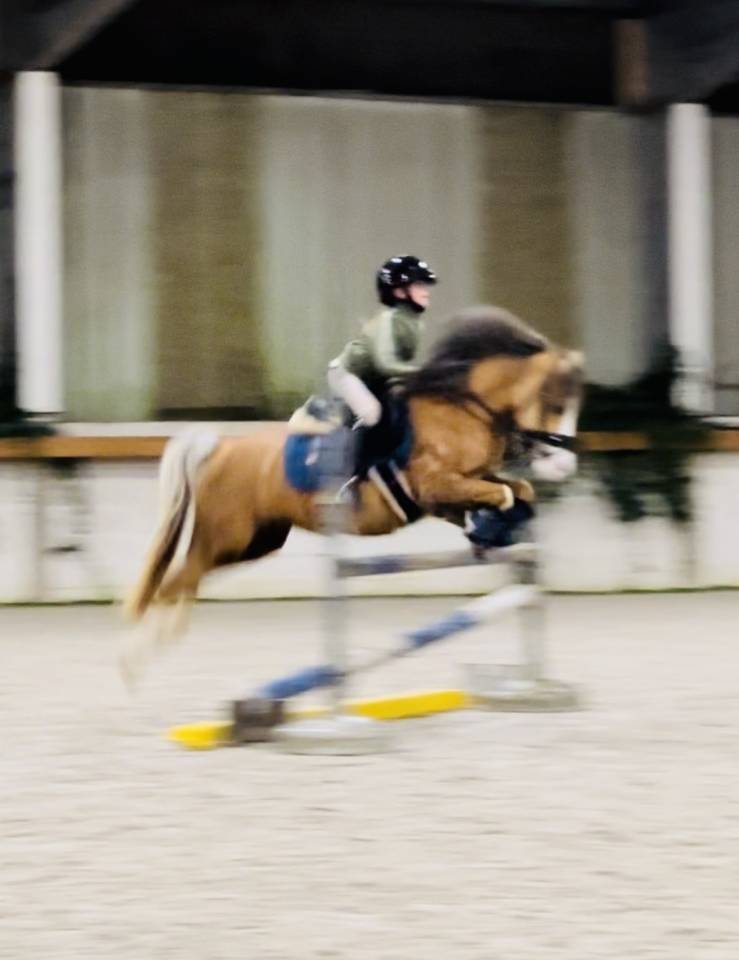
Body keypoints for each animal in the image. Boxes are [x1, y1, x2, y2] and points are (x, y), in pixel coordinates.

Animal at [120, 305, 584, 683]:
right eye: (553, 403)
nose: (564, 466)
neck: (462, 406)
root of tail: (220, 448)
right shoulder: (436, 485)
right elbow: (502, 494)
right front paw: (489, 527)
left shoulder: (456, 490)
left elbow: (515, 489)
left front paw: (490, 532)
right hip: (226, 536)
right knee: (174, 582)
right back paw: (134, 665)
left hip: (255, 542)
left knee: (184, 581)